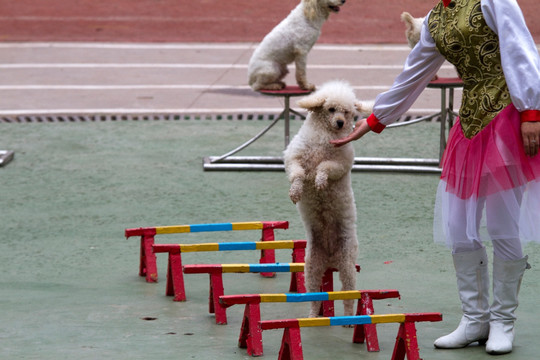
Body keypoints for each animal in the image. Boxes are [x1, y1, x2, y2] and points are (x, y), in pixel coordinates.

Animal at [282, 80, 372, 316]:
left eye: (347, 112)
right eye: (331, 109)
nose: (340, 123)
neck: (324, 137)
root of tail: (331, 258)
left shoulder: (338, 164)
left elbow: (324, 167)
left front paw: (320, 182)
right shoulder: (294, 158)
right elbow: (297, 174)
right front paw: (296, 192)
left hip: (347, 264)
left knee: (348, 298)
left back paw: (349, 319)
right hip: (312, 267)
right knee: (315, 298)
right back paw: (313, 316)